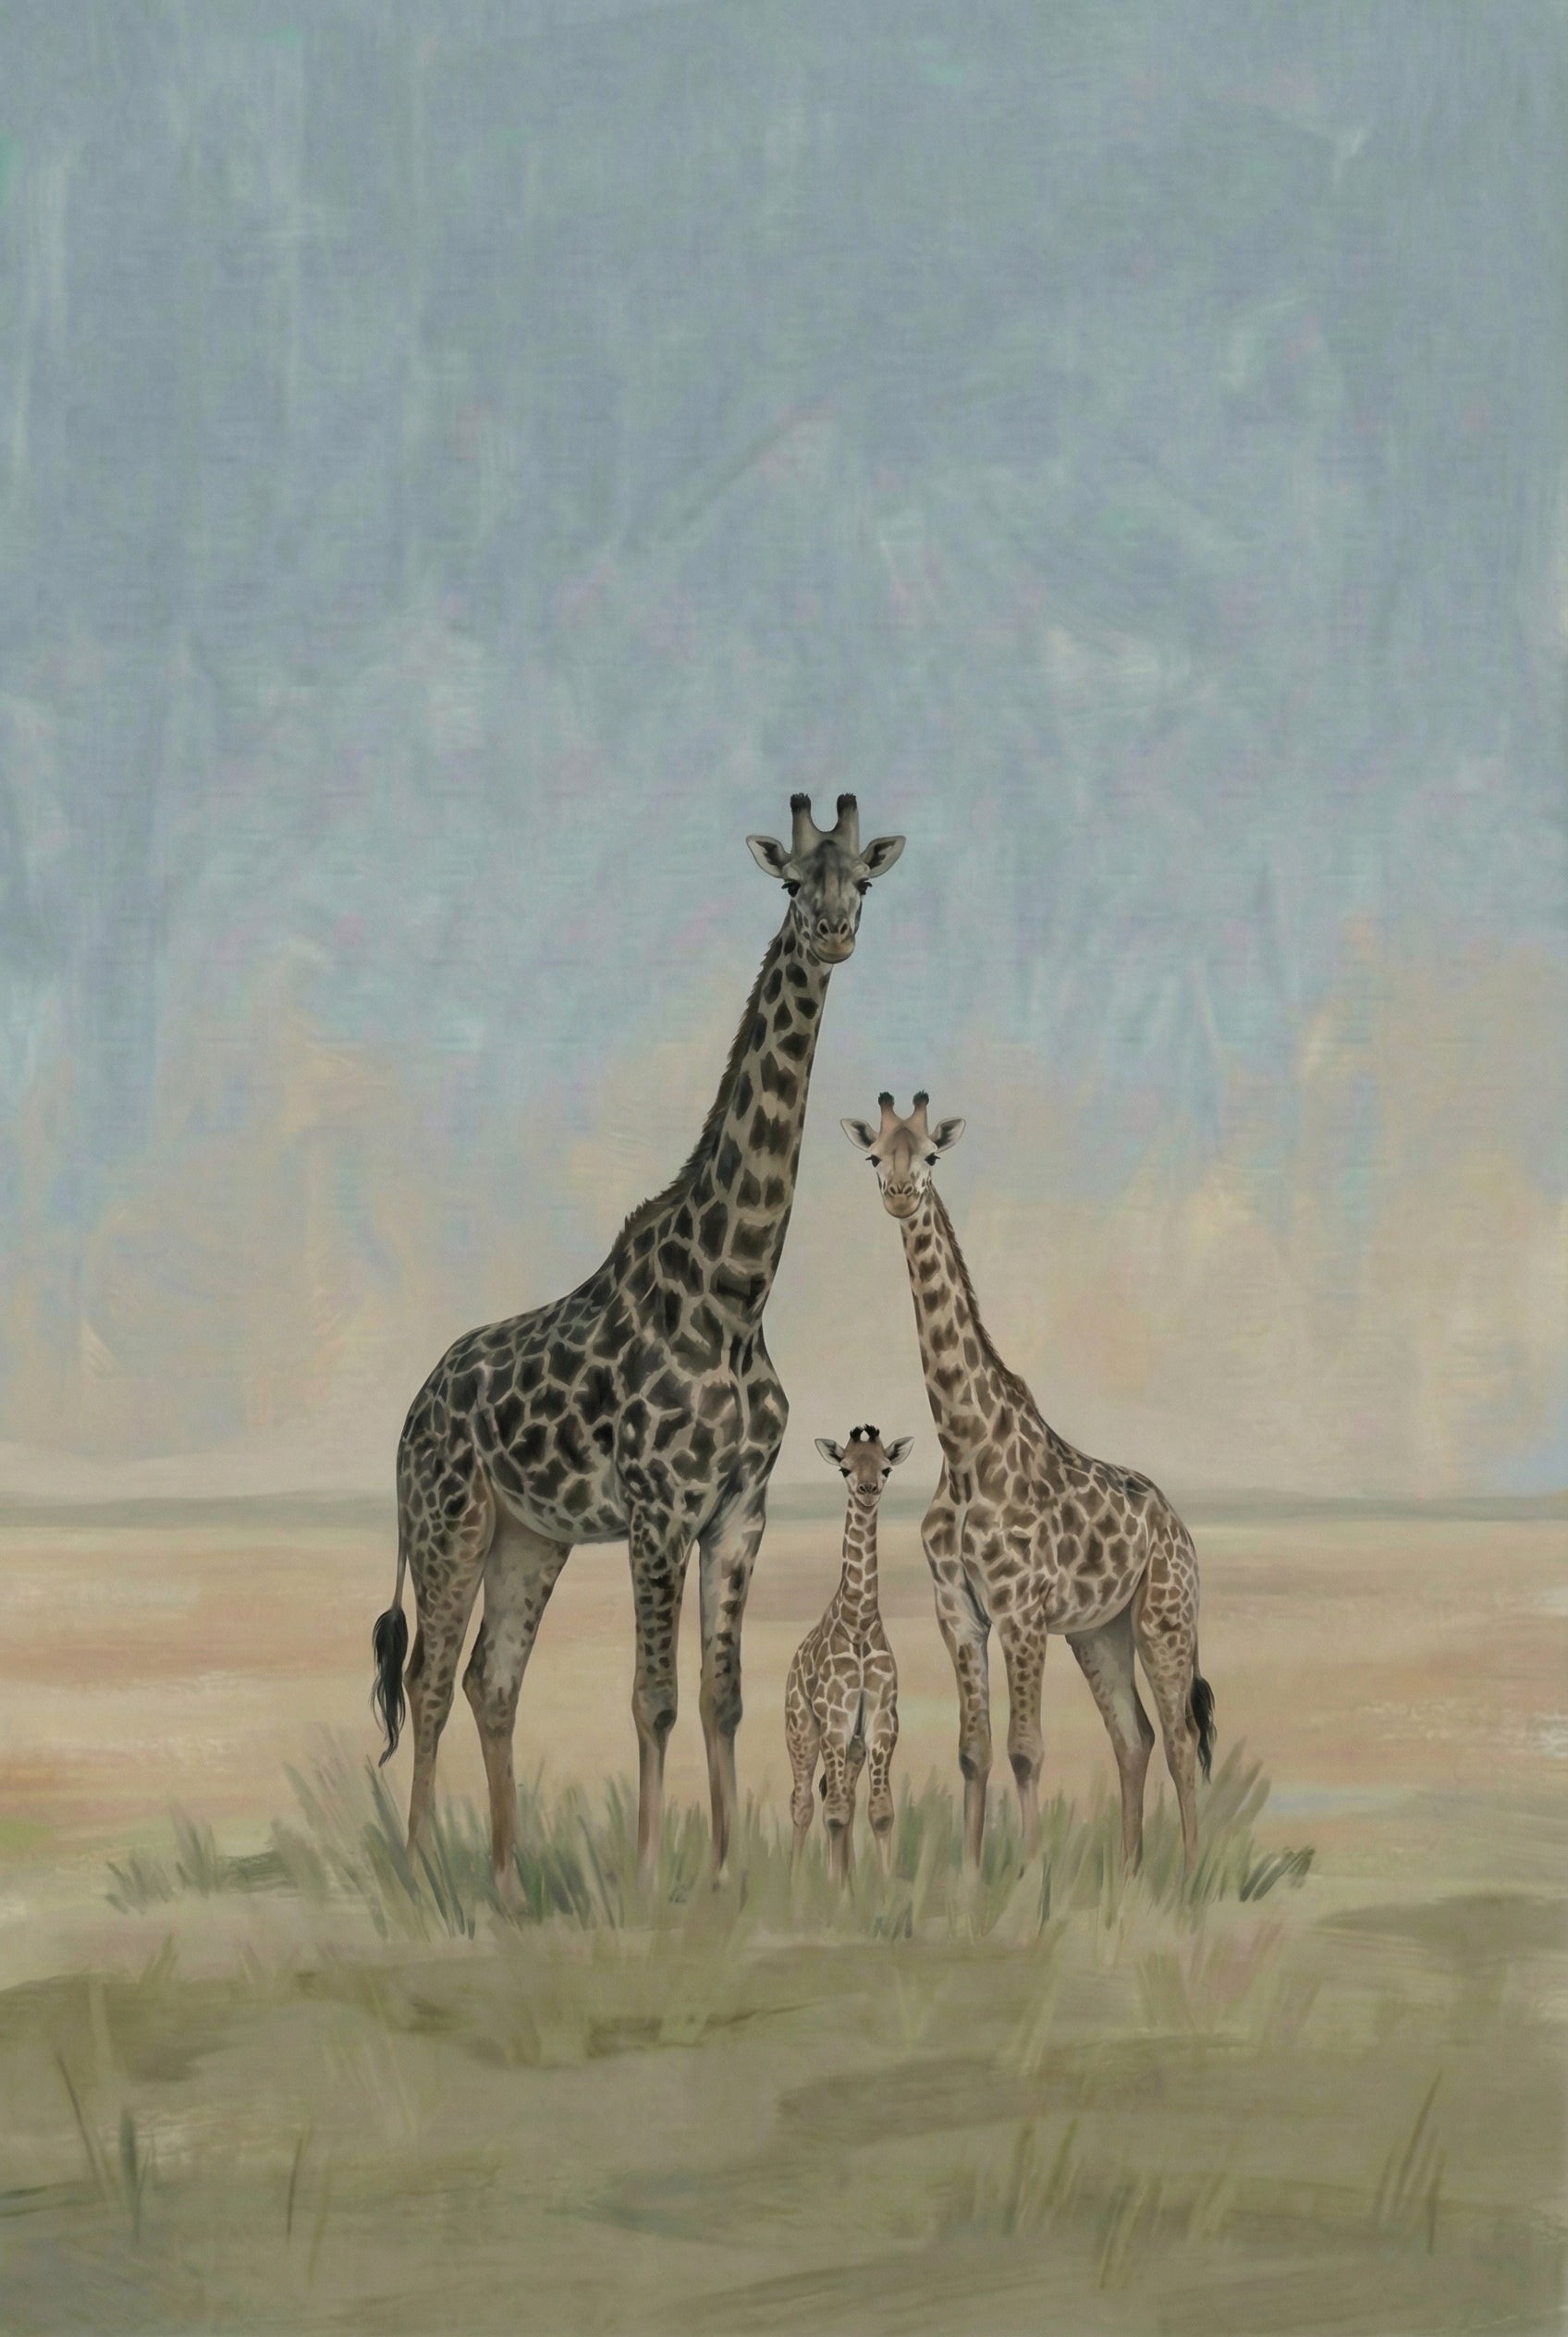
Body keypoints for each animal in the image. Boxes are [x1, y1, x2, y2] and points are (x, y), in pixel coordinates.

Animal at [783, 1423, 913, 1881]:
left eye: (886, 1467)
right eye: (844, 1468)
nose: (868, 1489)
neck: (858, 1621)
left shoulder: (881, 1719)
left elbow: (880, 1811)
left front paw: (883, 1885)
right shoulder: (834, 1719)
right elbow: (835, 1812)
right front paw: (832, 1888)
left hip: (853, 1744)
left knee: (837, 1795)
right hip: (801, 1728)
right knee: (804, 1801)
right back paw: (798, 1881)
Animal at [841, 1094, 1216, 1876]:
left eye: (931, 1154)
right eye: (873, 1155)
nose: (900, 1194)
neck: (964, 1446)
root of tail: (1180, 1528)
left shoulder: (1020, 1610)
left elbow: (1024, 1750)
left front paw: (1033, 1875)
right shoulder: (959, 1611)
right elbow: (973, 1751)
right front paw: (971, 1876)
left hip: (1165, 1617)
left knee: (1181, 1738)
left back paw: (1193, 1873)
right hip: (1100, 1630)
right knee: (1132, 1735)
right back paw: (1130, 1873)